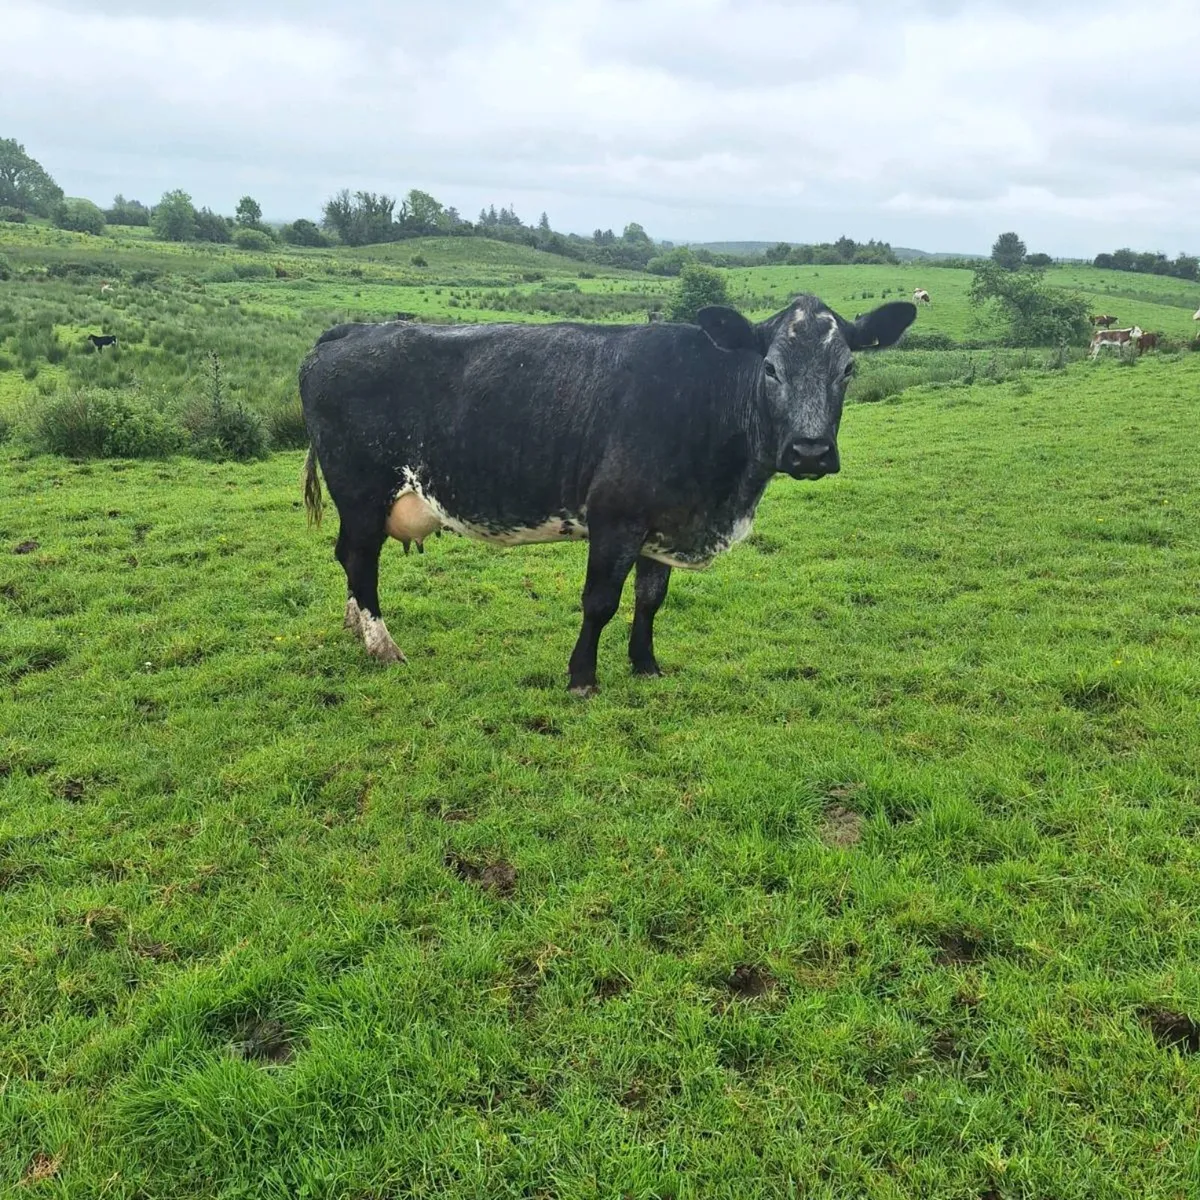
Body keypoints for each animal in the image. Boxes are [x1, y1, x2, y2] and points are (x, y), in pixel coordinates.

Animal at [298, 295, 918, 694]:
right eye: (769, 368)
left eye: (848, 368)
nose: (810, 451)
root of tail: (348, 331)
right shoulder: (615, 517)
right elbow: (600, 601)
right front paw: (582, 677)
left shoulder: (662, 522)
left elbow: (650, 599)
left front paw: (645, 665)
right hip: (362, 491)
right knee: (360, 560)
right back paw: (382, 646)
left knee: (347, 557)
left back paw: (356, 628)